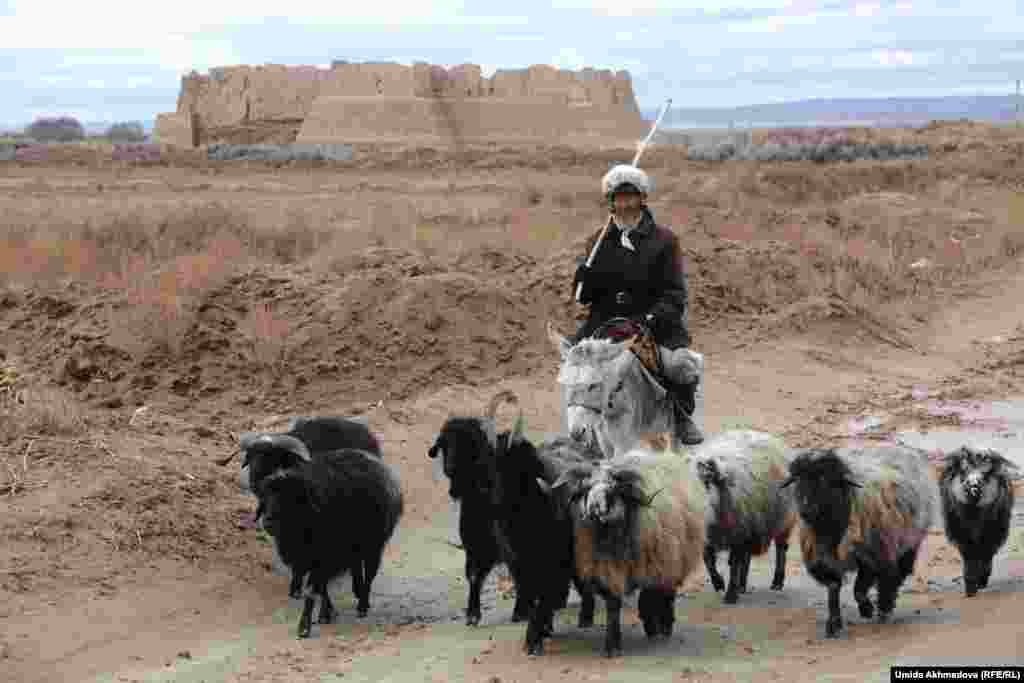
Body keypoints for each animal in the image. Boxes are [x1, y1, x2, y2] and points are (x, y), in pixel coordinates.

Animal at [260, 446, 403, 638]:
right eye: (266, 498)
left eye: (289, 498)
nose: (267, 522)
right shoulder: (308, 559)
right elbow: (321, 588)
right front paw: (326, 614)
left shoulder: (324, 557)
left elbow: (313, 590)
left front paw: (304, 627)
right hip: (355, 549)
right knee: (356, 568)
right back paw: (357, 593)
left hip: (374, 547)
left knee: (369, 575)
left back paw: (363, 606)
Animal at [548, 444, 708, 655]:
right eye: (586, 488)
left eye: (612, 489)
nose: (594, 509)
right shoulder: (608, 569)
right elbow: (613, 606)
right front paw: (612, 645)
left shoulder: (652, 566)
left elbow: (650, 597)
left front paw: (651, 625)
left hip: (673, 558)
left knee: (666, 593)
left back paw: (664, 626)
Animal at [692, 432, 794, 602]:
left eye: (707, 482)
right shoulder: (711, 536)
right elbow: (708, 560)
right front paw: (719, 583)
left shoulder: (738, 531)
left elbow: (734, 563)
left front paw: (730, 595)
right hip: (751, 523)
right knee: (746, 557)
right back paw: (742, 585)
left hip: (783, 519)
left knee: (781, 549)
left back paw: (777, 582)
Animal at [778, 446, 937, 638]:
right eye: (798, 480)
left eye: (825, 480)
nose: (806, 509)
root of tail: (903, 449)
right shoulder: (823, 560)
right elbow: (834, 588)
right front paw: (834, 624)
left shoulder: (870, 556)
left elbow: (859, 590)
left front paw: (868, 609)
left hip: (909, 542)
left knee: (897, 572)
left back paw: (886, 606)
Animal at [937, 446, 1019, 593]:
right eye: (963, 471)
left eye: (986, 474)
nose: (973, 485)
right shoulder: (961, 534)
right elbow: (969, 557)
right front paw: (970, 586)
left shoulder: (991, 532)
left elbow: (985, 555)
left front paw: (980, 581)